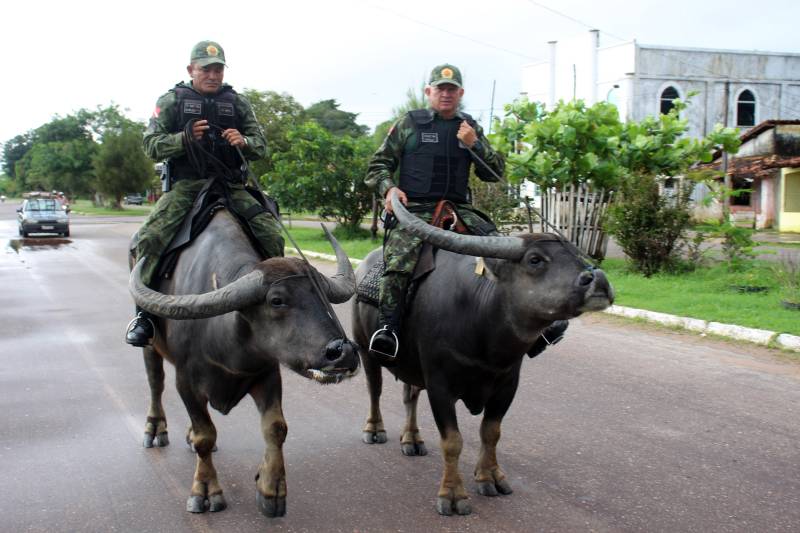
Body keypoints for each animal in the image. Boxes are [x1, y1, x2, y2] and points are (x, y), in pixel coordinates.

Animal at [129, 208, 360, 516]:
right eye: (276, 300)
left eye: (323, 295)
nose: (344, 351)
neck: (223, 337)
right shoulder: (186, 383)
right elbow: (205, 436)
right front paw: (205, 491)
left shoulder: (268, 373)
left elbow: (276, 428)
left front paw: (270, 488)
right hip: (151, 347)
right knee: (155, 383)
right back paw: (155, 429)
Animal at [354, 193, 616, 512]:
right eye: (535, 259)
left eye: (577, 255)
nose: (598, 279)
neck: (484, 335)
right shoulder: (440, 386)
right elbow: (452, 441)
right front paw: (452, 494)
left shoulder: (507, 385)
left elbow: (491, 432)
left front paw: (490, 476)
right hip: (366, 351)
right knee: (375, 390)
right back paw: (374, 430)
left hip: (411, 365)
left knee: (409, 396)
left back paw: (412, 439)